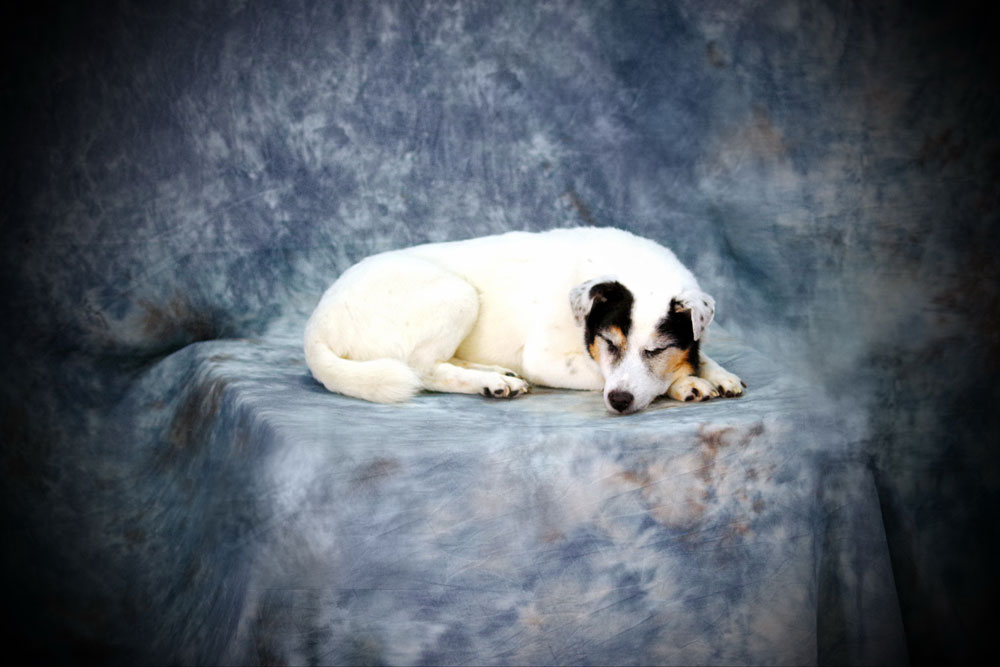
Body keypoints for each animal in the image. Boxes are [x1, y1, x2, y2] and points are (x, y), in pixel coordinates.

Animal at [304, 227, 744, 414]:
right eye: (608, 343)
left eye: (657, 348)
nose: (618, 403)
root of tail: (316, 325)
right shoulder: (548, 360)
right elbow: (618, 375)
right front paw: (686, 382)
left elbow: (697, 355)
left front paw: (716, 373)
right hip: (457, 294)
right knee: (422, 370)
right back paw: (491, 383)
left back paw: (495, 373)